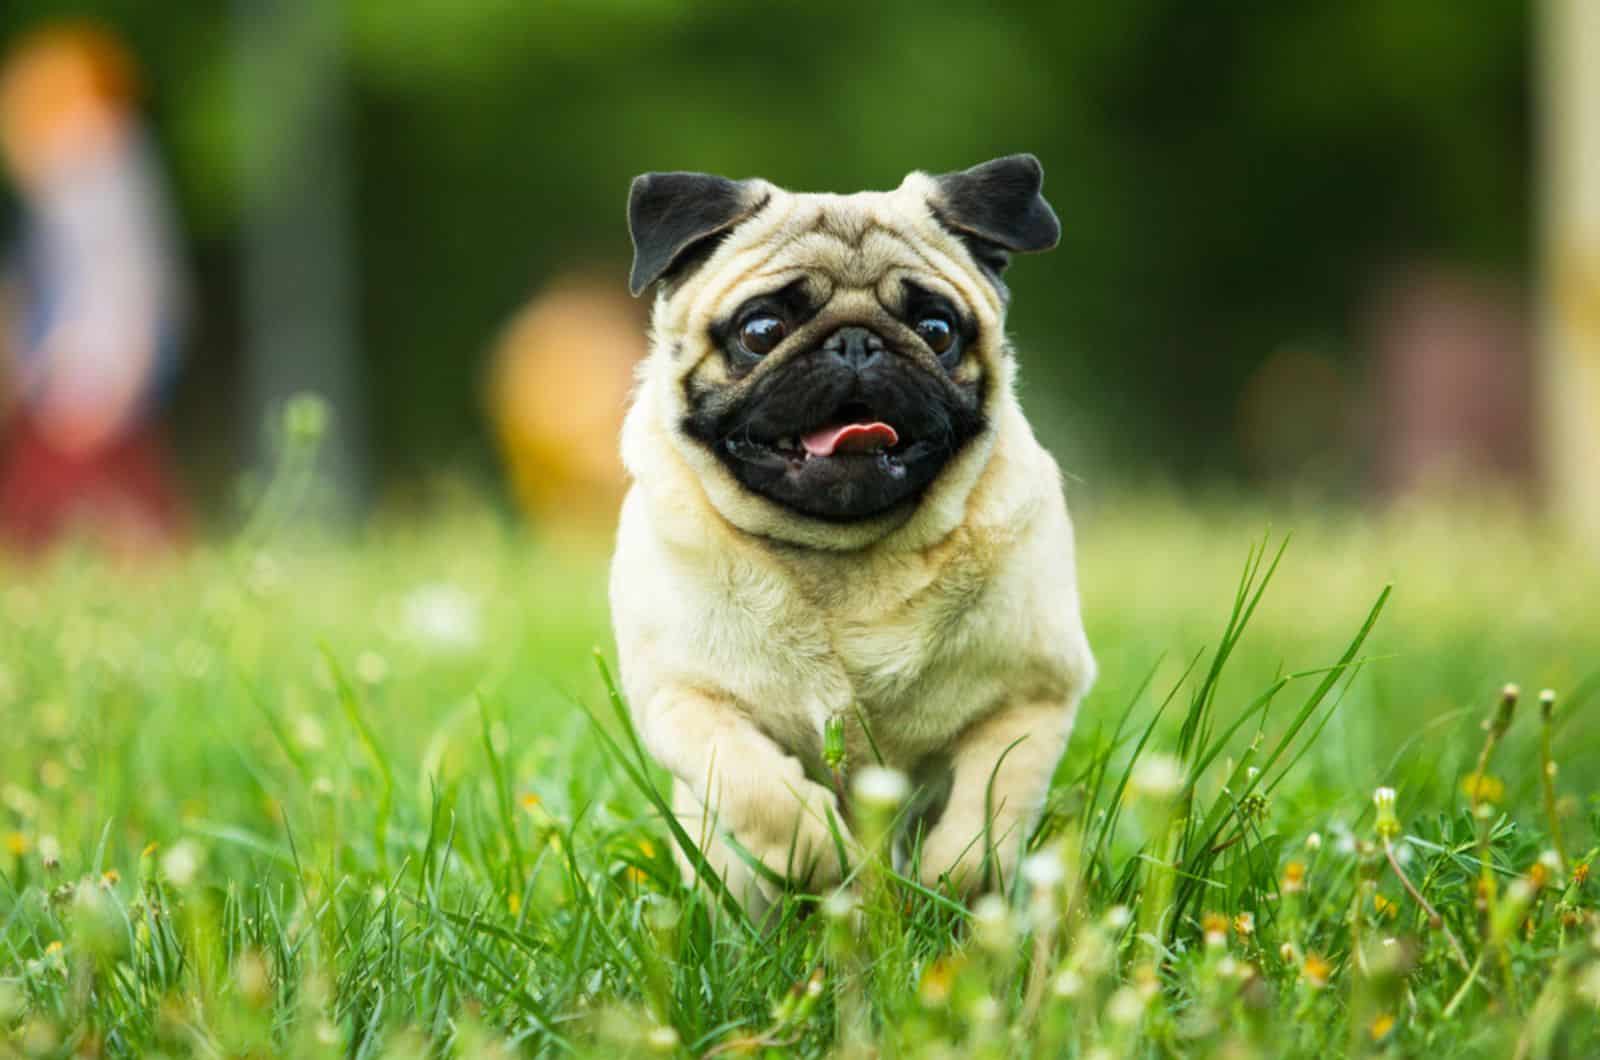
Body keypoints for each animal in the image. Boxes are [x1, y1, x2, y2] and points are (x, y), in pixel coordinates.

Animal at [604, 156, 1094, 915]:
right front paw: (817, 853)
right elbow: (751, 782)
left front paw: (947, 884)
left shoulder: (1031, 696)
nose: (858, 341)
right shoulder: (684, 698)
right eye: (761, 330)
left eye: (936, 328)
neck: (845, 558)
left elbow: (989, 808)